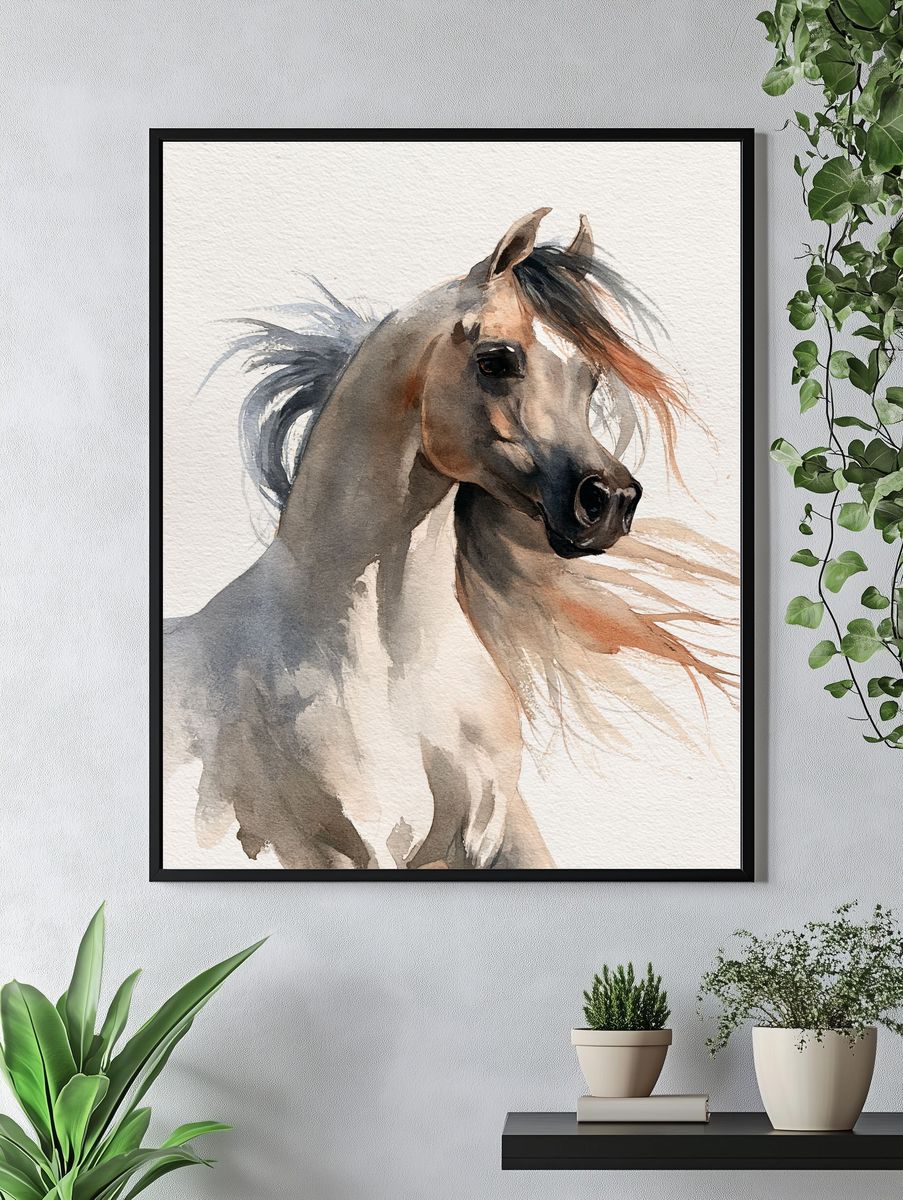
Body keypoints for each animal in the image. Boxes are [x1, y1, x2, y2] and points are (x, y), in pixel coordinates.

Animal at [162, 208, 738, 870]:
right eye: (496, 360)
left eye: (591, 378)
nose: (610, 500)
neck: (402, 668)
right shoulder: (344, 847)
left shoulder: (494, 830)